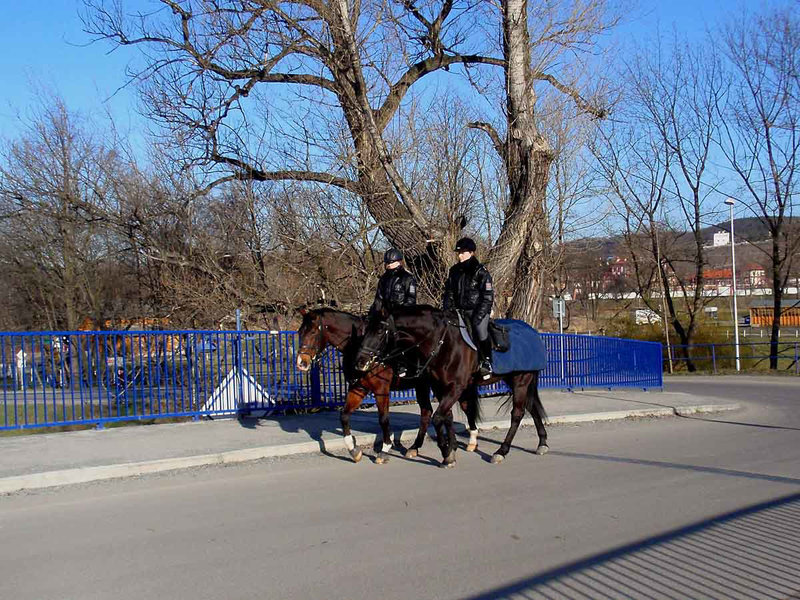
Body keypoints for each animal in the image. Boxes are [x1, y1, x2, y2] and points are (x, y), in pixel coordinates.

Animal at [296, 310, 478, 464]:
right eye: (300, 332)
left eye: (313, 332)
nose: (301, 363)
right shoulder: (358, 388)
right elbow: (344, 415)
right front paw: (354, 450)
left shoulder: (381, 390)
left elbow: (383, 419)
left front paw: (384, 449)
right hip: (428, 386)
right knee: (434, 413)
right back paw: (428, 447)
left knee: (451, 410)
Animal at [356, 304, 552, 468]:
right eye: (365, 330)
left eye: (380, 330)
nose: (361, 361)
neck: (442, 343)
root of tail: (533, 332)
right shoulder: (440, 387)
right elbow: (446, 416)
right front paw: (451, 448)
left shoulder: (455, 388)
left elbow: (437, 417)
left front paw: (446, 453)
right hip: (515, 380)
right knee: (531, 407)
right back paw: (542, 443)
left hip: (521, 380)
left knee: (517, 414)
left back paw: (501, 451)